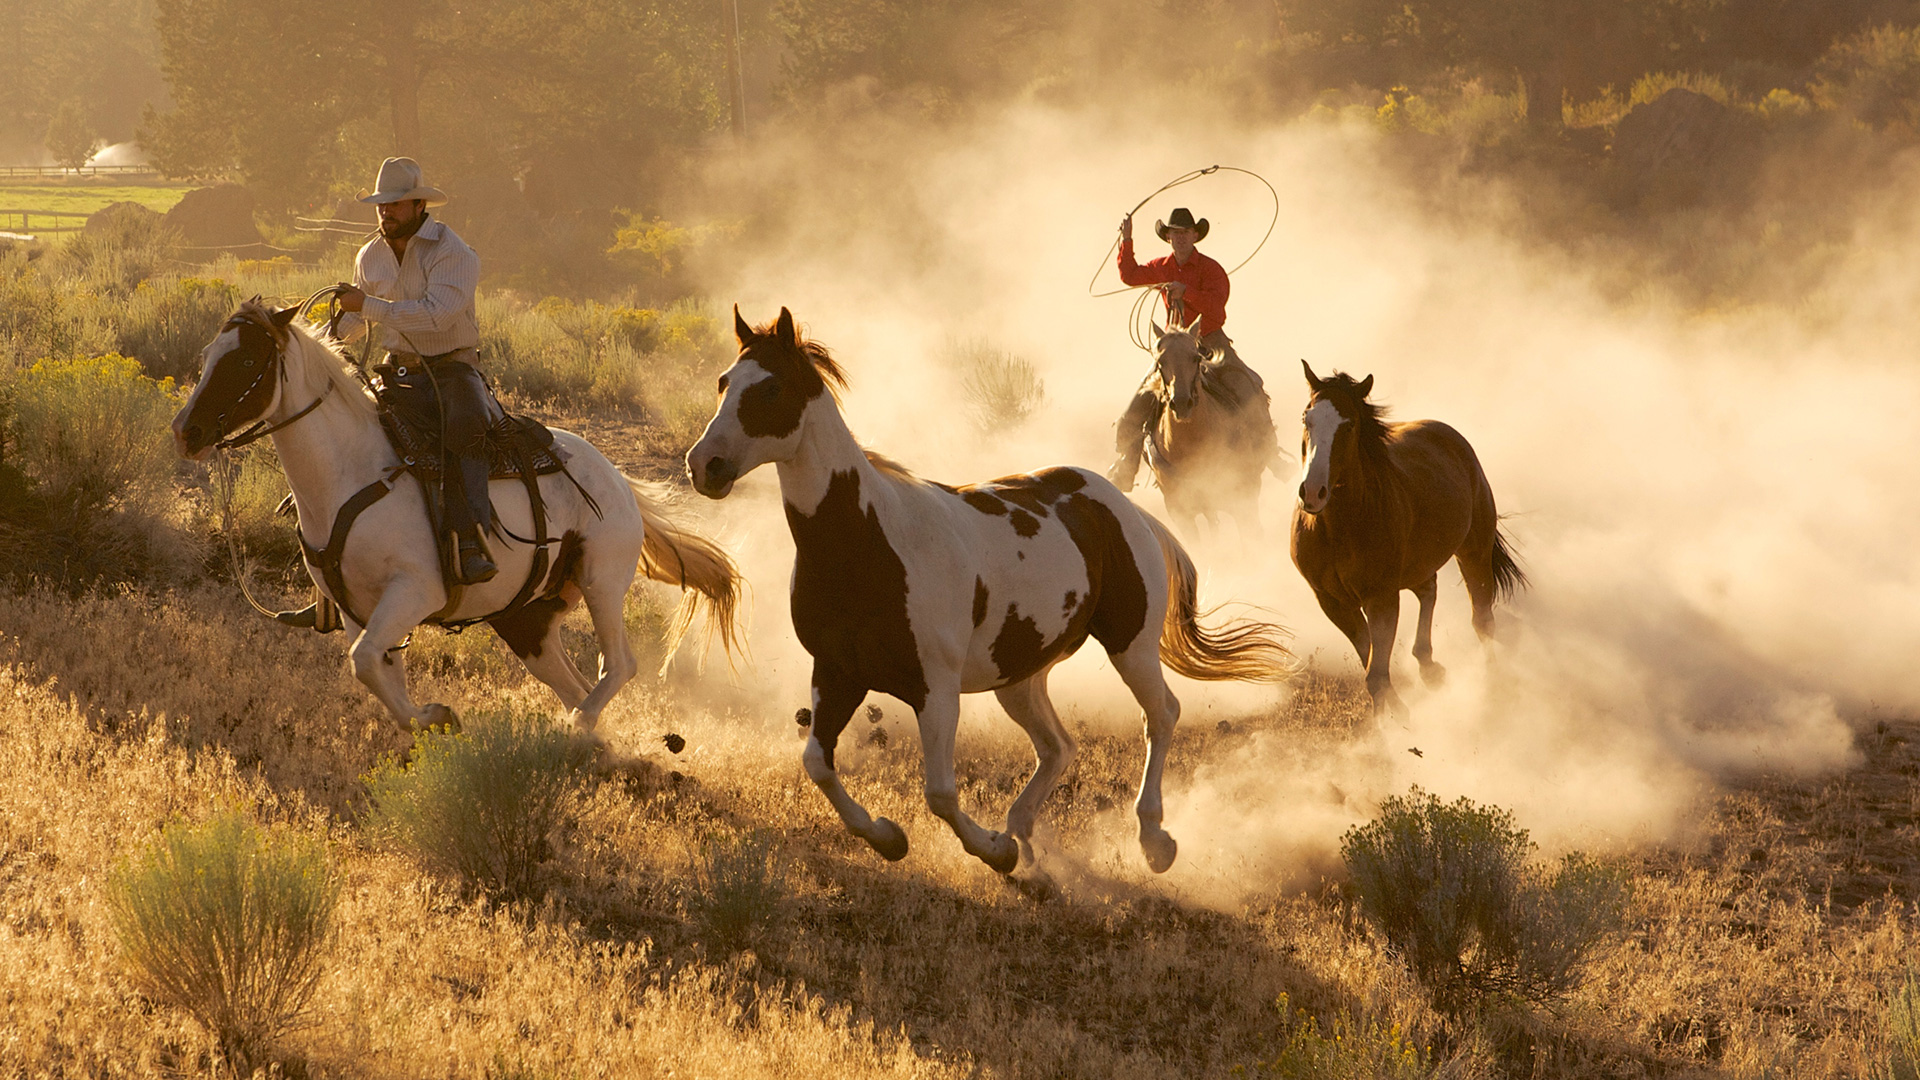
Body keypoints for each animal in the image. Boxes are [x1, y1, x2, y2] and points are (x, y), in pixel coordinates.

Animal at [174, 297, 741, 737]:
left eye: (247, 360)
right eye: (206, 357)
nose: (186, 431)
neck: (351, 474)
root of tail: (618, 480)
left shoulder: (415, 590)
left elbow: (362, 661)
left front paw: (437, 718)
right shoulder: (360, 608)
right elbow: (378, 669)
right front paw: (427, 725)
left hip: (601, 581)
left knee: (618, 665)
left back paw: (578, 727)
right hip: (526, 618)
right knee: (573, 682)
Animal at [1290, 359, 1528, 714]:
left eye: (1349, 425)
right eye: (1307, 418)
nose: (1313, 492)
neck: (1338, 529)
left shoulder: (1382, 598)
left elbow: (1376, 675)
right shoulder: (1332, 602)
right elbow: (1371, 663)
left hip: (1474, 551)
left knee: (1482, 619)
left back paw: (1490, 684)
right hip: (1418, 564)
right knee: (1429, 590)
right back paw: (1429, 667)